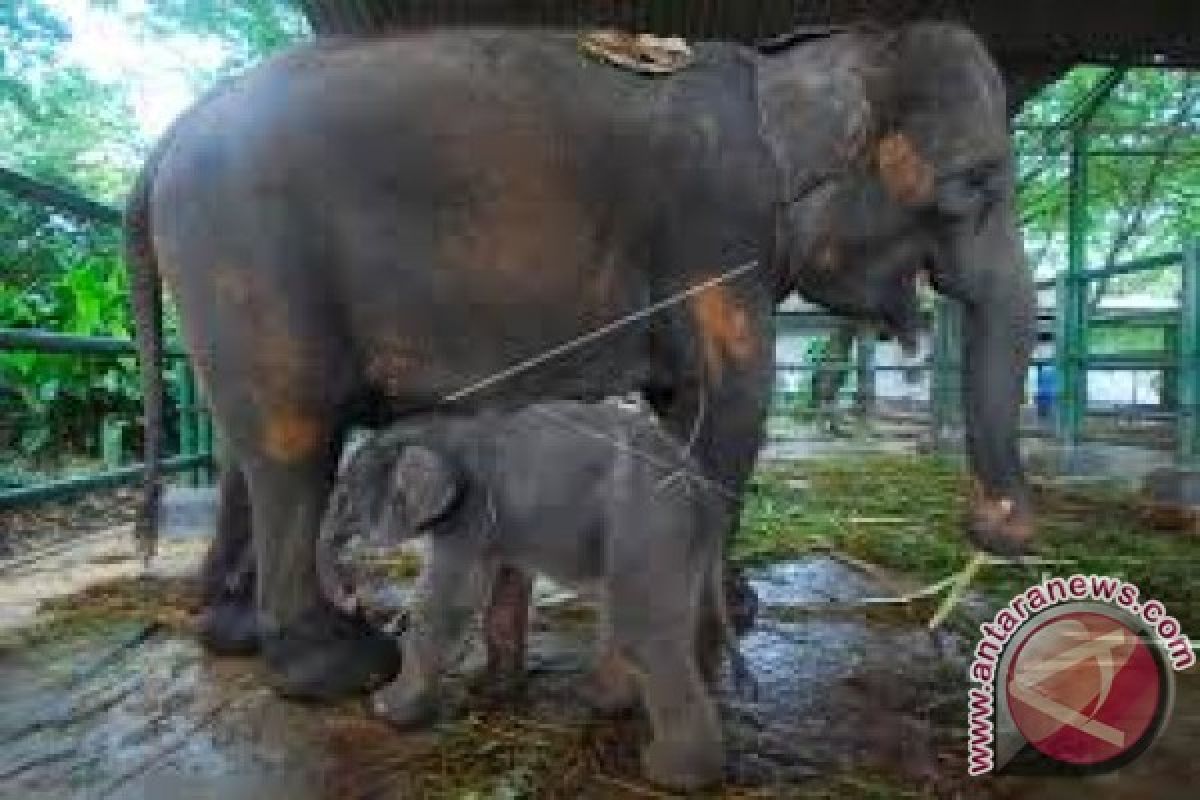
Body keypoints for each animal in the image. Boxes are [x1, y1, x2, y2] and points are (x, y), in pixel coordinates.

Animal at [126, 23, 1036, 700]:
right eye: (973, 184)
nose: (994, 525)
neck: (800, 63)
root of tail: (166, 139)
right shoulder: (715, 223)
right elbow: (728, 407)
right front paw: (706, 625)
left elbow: (682, 405)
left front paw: (732, 607)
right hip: (249, 257)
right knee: (293, 443)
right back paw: (339, 668)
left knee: (248, 446)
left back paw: (232, 633)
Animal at [314, 402, 734, 791]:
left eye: (345, 496)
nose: (353, 601)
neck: (442, 431)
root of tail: (703, 488)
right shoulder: (495, 525)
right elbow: (505, 584)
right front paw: (493, 690)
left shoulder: (470, 515)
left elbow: (448, 601)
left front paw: (386, 709)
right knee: (658, 612)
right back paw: (606, 701)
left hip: (649, 527)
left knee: (641, 634)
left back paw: (674, 776)